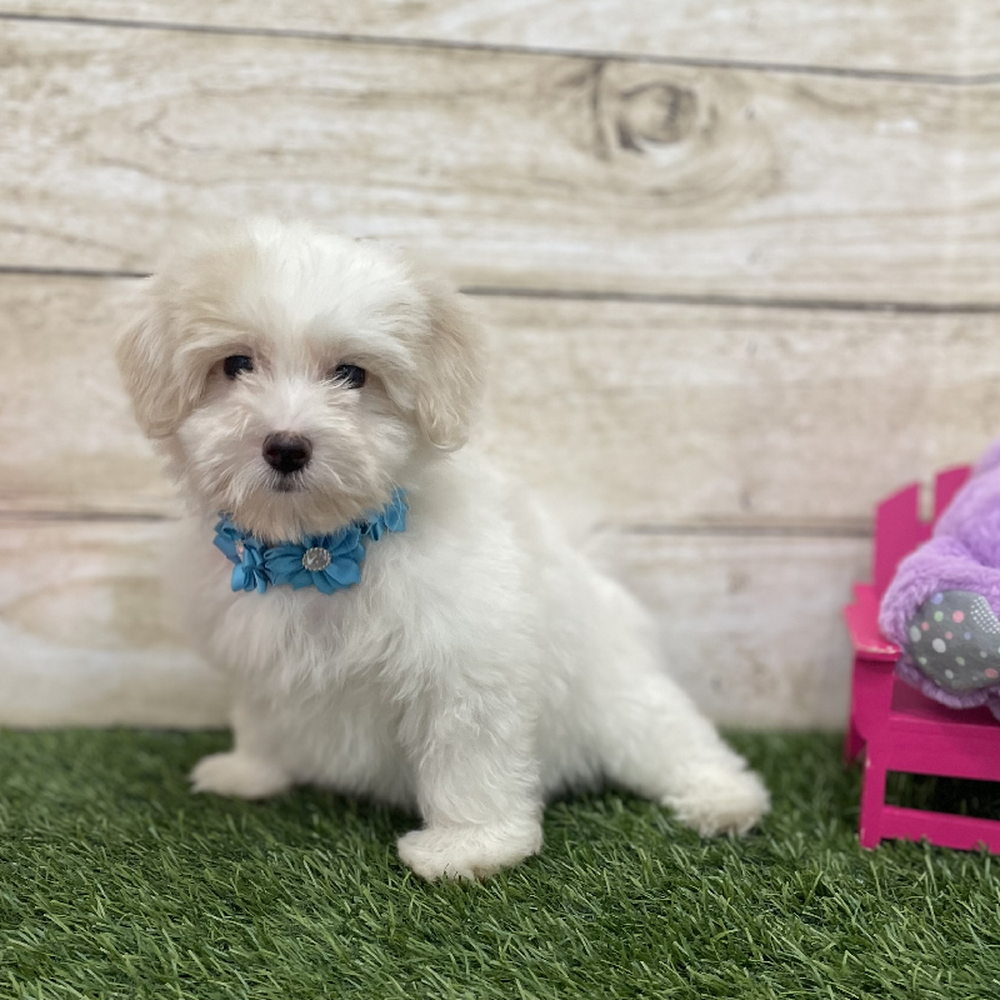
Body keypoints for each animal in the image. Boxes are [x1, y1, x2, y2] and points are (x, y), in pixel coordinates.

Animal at [119, 223, 772, 880]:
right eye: (235, 365)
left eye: (352, 374)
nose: (285, 446)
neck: (321, 550)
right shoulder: (259, 663)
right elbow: (260, 716)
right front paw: (250, 772)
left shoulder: (467, 665)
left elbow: (468, 757)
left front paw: (469, 847)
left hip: (621, 696)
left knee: (675, 738)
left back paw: (725, 799)